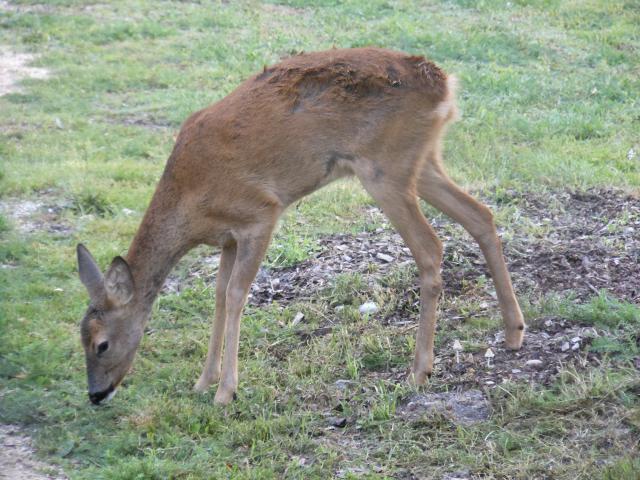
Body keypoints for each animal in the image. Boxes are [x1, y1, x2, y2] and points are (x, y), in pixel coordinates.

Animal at [76, 47, 524, 404]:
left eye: (101, 344)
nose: (96, 395)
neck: (188, 201)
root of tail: (444, 84)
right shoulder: (228, 237)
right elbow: (219, 295)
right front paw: (204, 382)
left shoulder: (261, 213)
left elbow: (237, 294)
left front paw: (226, 391)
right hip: (422, 160)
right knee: (481, 214)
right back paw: (514, 331)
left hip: (386, 169)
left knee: (431, 248)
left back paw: (419, 370)